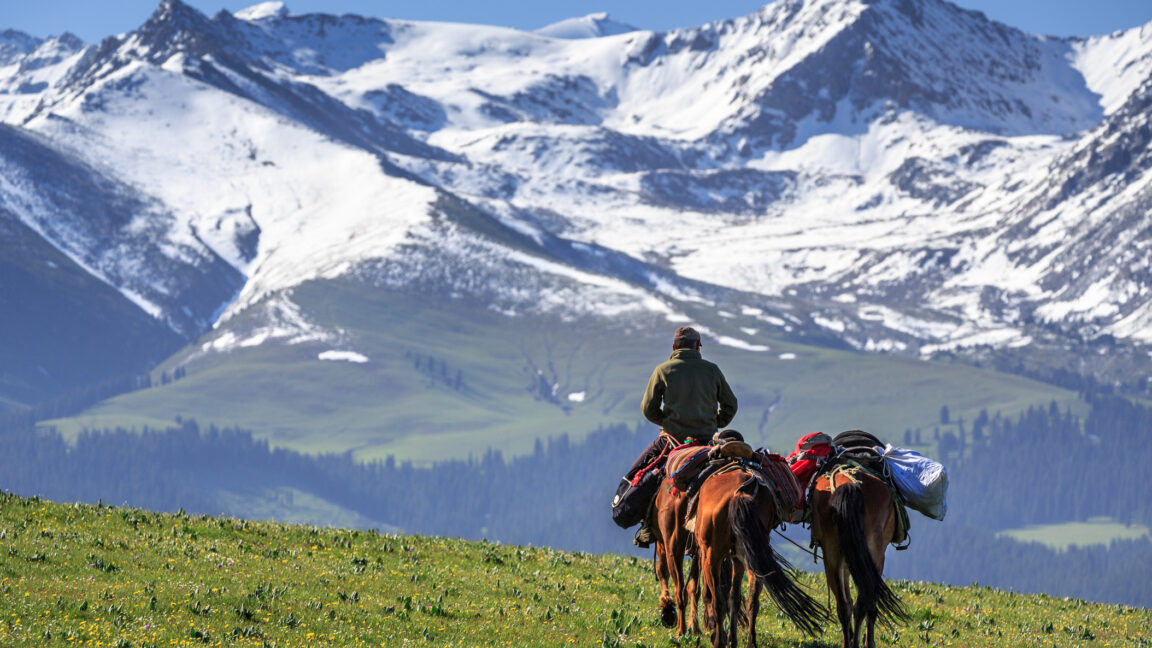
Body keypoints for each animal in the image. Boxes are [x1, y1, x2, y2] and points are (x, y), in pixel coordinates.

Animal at [691, 465, 829, 641]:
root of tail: (741, 492)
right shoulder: (738, 559)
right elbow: (735, 598)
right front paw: (732, 639)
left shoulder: (707, 554)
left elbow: (712, 595)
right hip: (752, 557)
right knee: (752, 600)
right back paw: (749, 641)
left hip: (712, 556)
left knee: (718, 601)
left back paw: (718, 640)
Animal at [811, 463, 907, 645]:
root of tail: (850, 484)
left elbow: (847, 600)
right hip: (873, 553)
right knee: (863, 604)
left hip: (832, 553)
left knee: (844, 606)